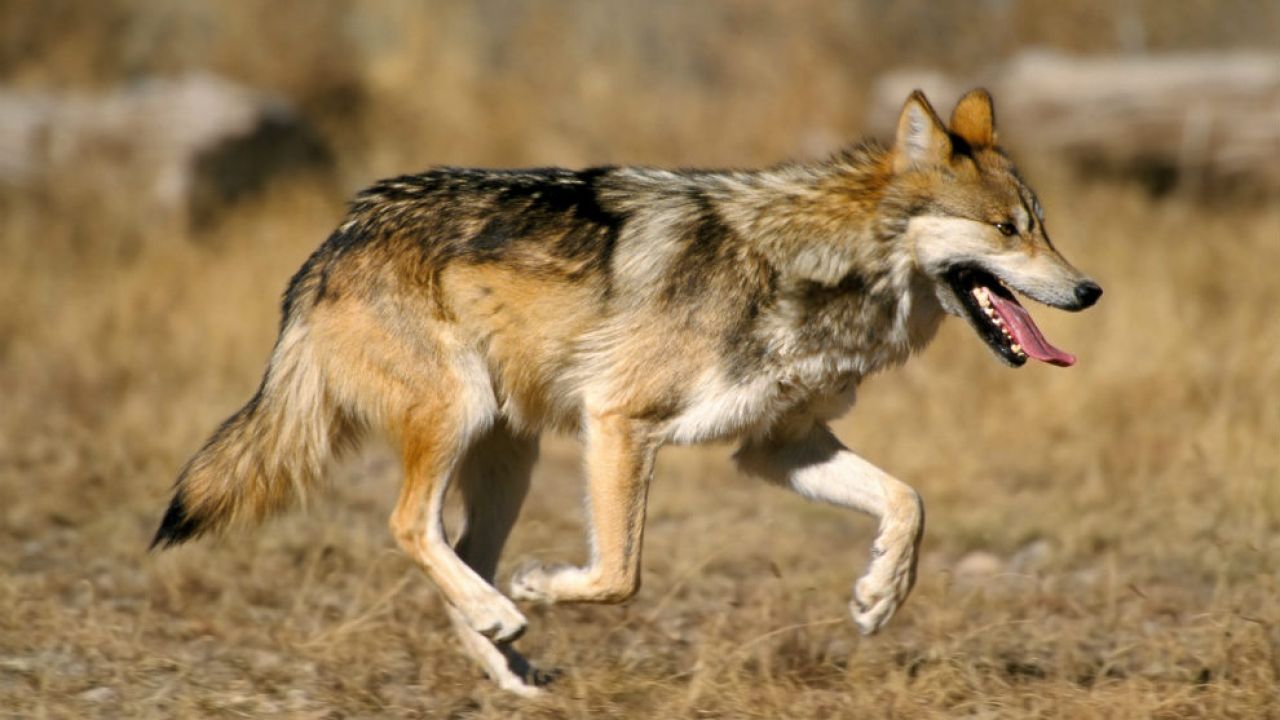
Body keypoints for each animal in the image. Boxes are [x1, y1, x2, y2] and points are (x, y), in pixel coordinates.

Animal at [152, 87, 1100, 691]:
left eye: (1044, 227)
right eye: (1007, 230)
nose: (1090, 290)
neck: (815, 267)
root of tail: (336, 239)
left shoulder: (777, 447)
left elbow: (909, 502)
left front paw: (878, 597)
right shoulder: (620, 423)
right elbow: (619, 576)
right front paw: (544, 587)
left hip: (511, 457)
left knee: (457, 552)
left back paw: (510, 666)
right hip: (463, 419)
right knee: (410, 527)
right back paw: (508, 615)